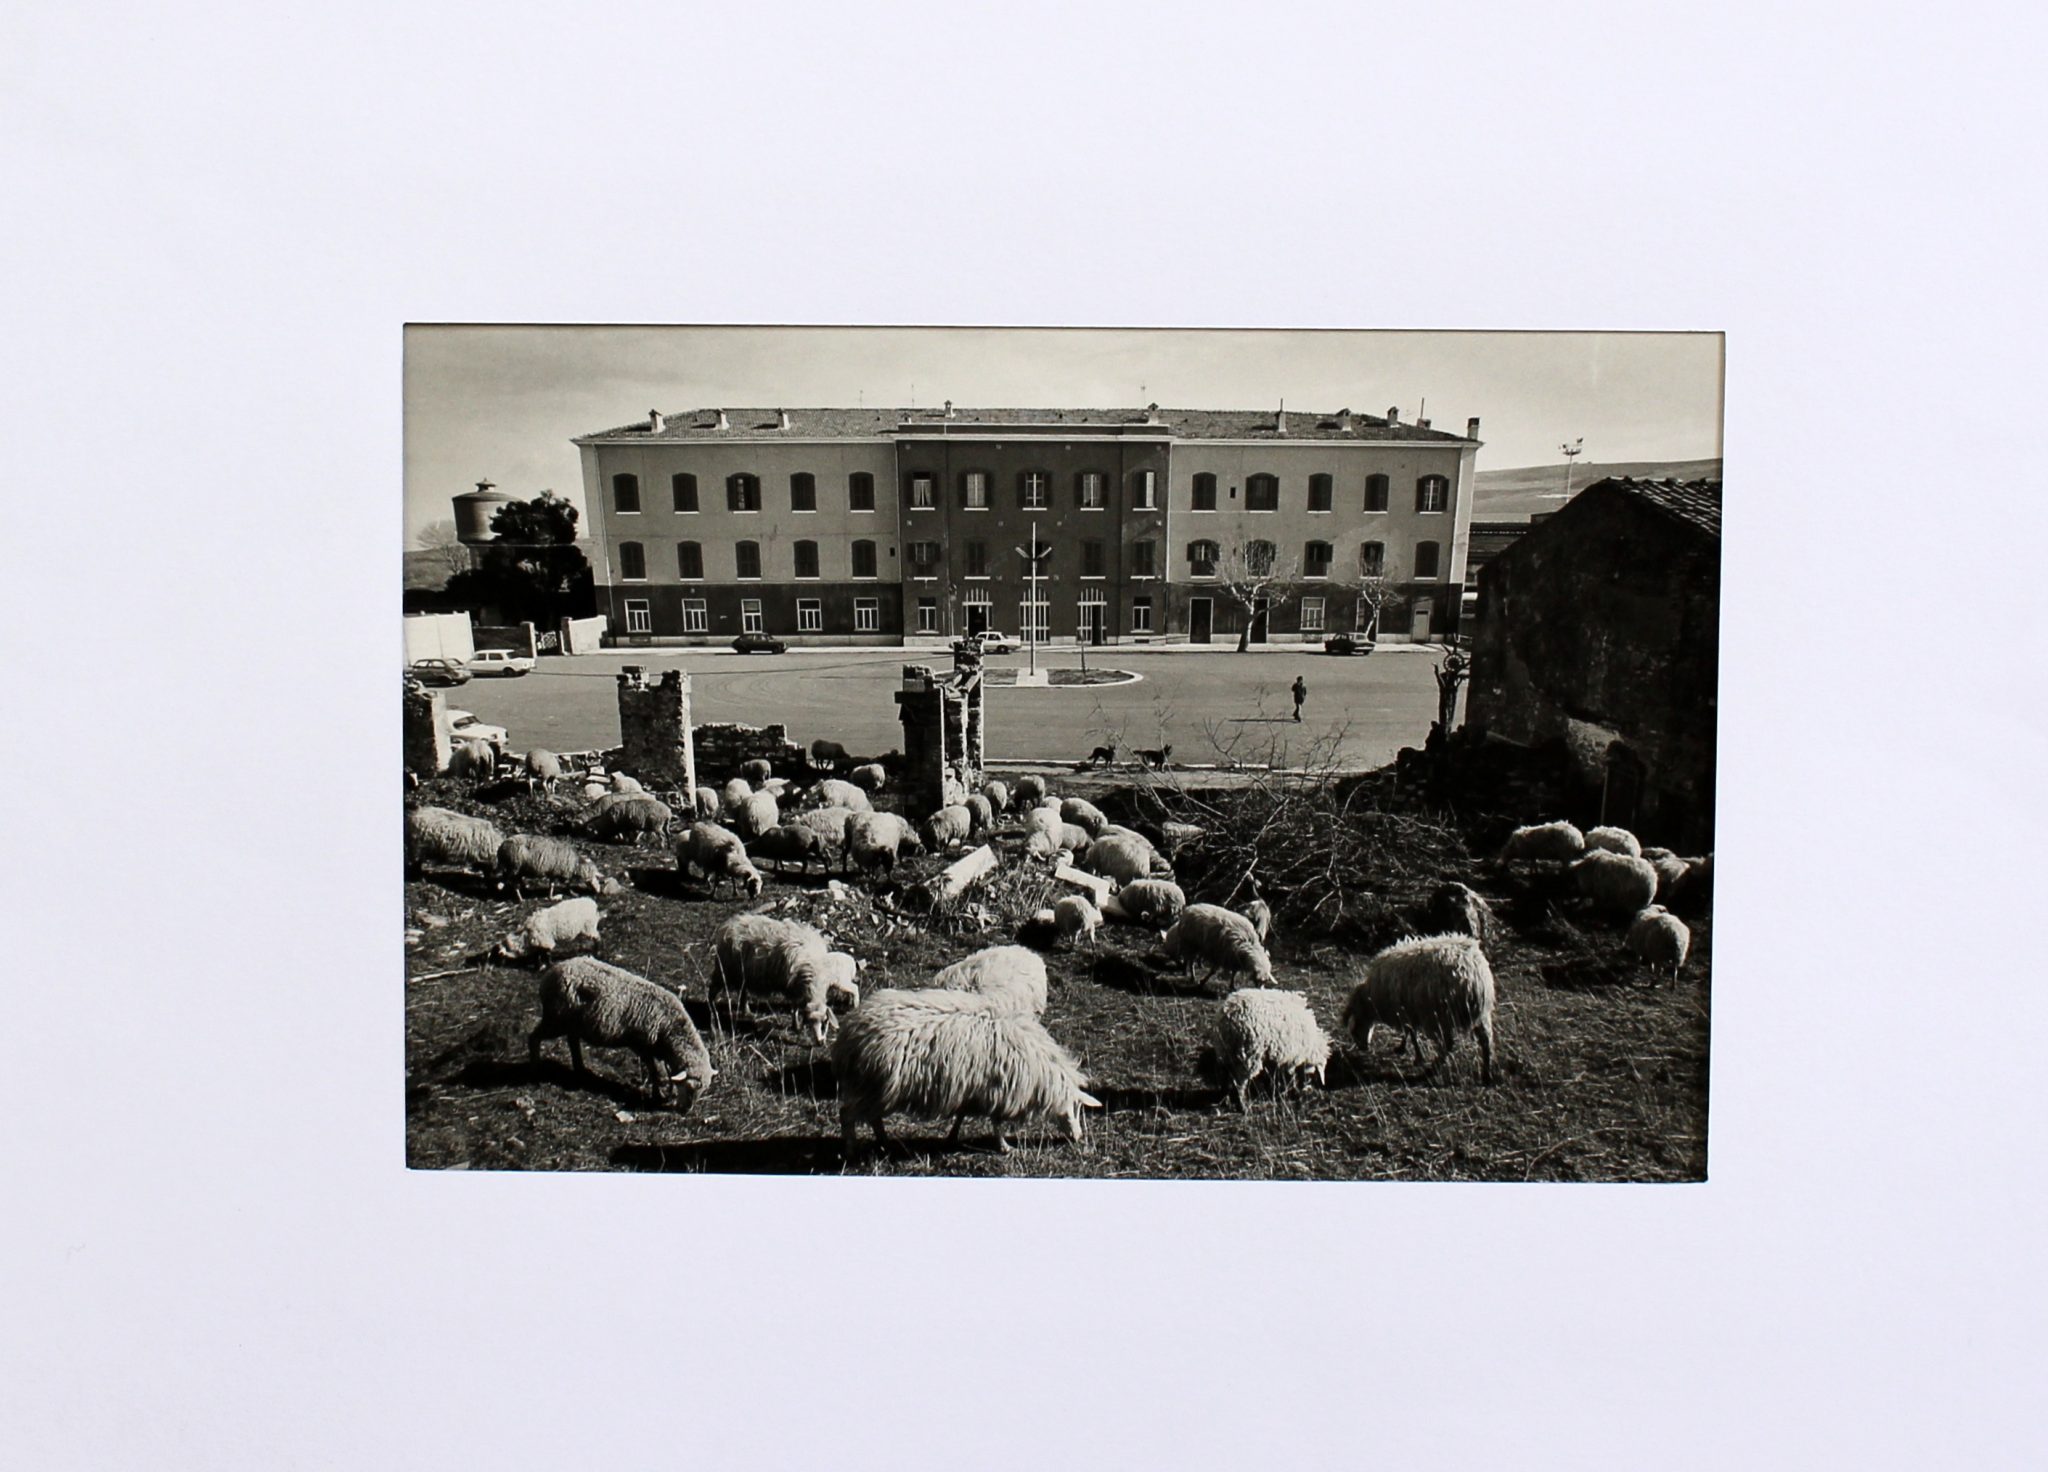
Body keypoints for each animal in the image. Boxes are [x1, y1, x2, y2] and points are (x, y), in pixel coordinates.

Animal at [528, 957, 714, 1107]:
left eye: (703, 1091)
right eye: (690, 1088)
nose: (686, 1111)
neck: (670, 1029)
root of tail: (553, 971)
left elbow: (668, 1074)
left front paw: (669, 1094)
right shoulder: (643, 1046)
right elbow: (656, 1072)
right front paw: (657, 1096)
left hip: (572, 1023)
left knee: (572, 1041)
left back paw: (580, 1069)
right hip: (556, 1019)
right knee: (534, 1037)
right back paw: (536, 1069)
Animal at [712, 913, 860, 1045]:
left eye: (825, 1022)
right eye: (810, 1023)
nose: (820, 1043)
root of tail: (729, 924)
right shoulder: (792, 987)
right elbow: (794, 1007)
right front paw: (796, 1025)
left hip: (743, 974)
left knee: (743, 991)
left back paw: (746, 1010)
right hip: (723, 969)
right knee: (712, 990)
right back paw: (713, 1011)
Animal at [832, 988, 1100, 1154]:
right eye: (1076, 1108)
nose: (1078, 1137)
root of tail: (850, 1031)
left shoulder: (969, 1084)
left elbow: (962, 1113)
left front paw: (952, 1136)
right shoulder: (998, 1087)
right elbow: (996, 1121)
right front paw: (1004, 1147)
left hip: (875, 1089)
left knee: (873, 1118)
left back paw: (884, 1143)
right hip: (871, 1085)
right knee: (847, 1115)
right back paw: (851, 1150)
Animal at [1341, 933, 1497, 1083]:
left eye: (1354, 1028)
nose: (1363, 1048)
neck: (1371, 998)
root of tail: (1471, 977)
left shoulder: (1404, 1010)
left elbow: (1410, 1032)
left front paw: (1414, 1055)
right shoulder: (1408, 1010)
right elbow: (1409, 1031)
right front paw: (1404, 1048)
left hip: (1438, 1016)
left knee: (1447, 1045)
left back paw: (1431, 1071)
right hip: (1482, 1015)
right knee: (1486, 1041)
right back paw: (1487, 1074)